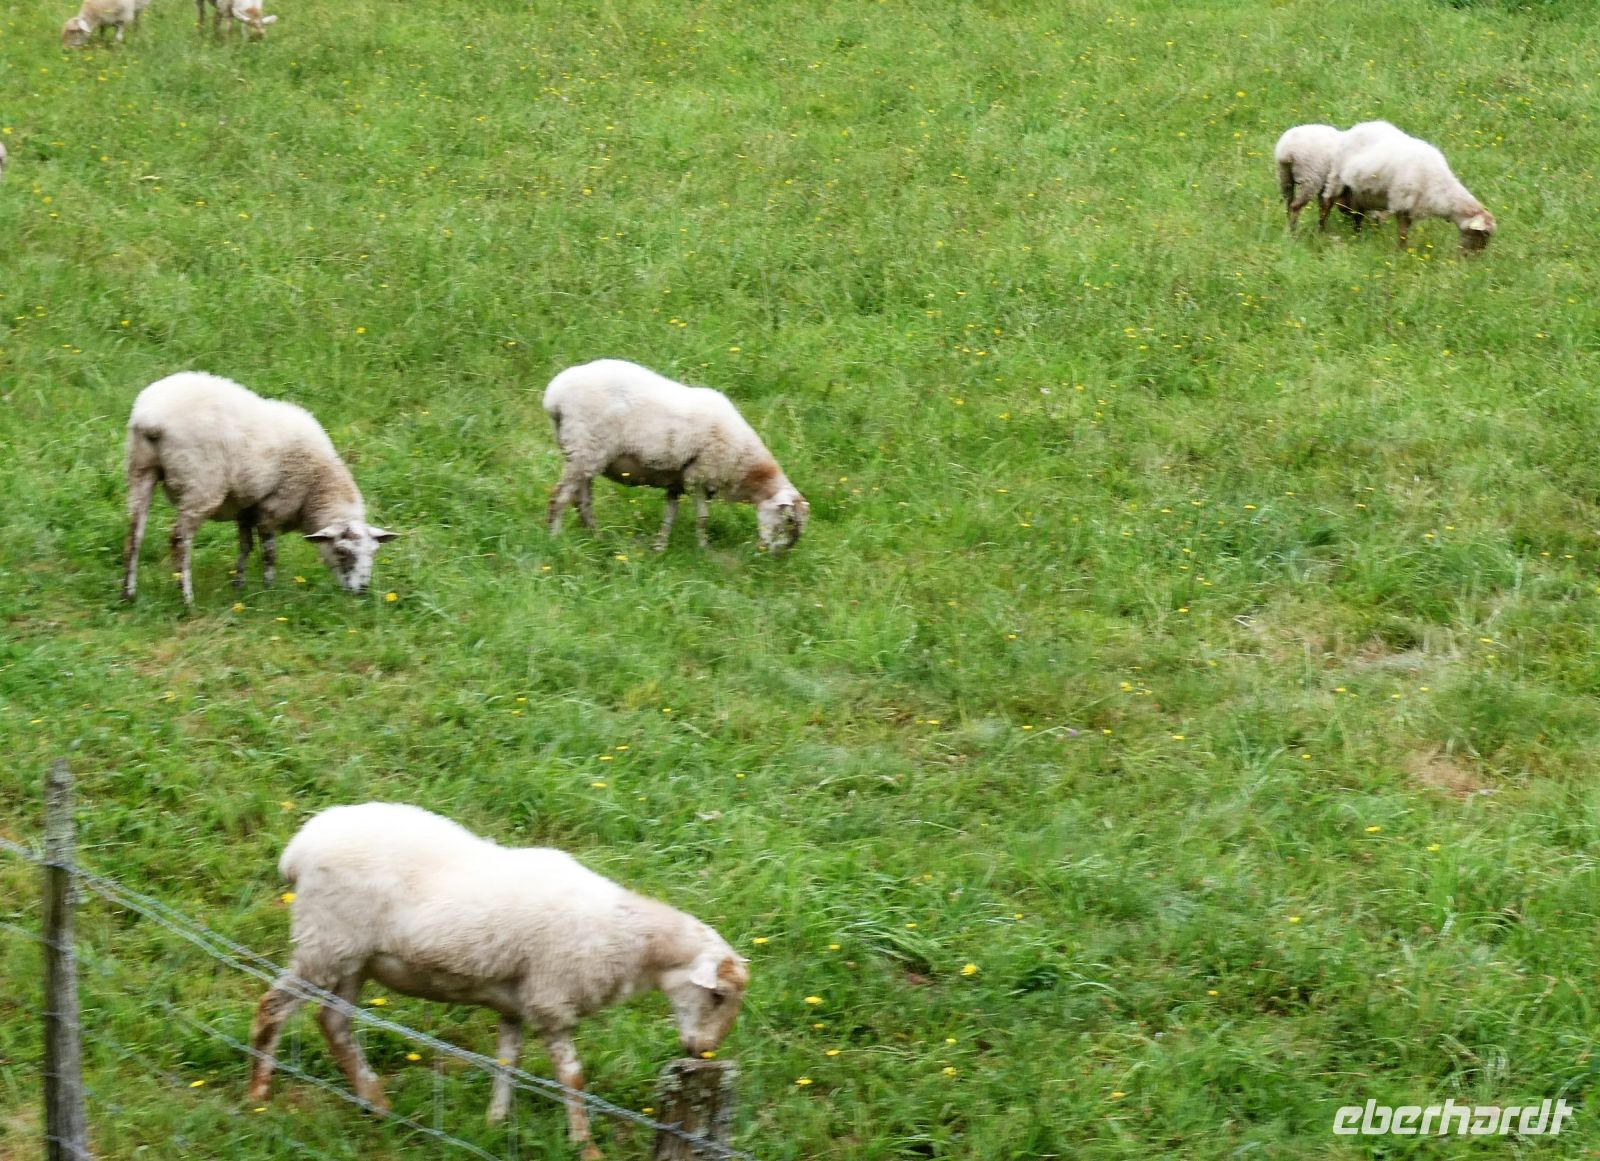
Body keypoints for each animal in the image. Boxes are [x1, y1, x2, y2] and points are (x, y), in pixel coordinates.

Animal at [121, 371, 396, 605]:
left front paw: (239, 584)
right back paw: (186, 599)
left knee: (135, 533)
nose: (361, 591)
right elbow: (269, 553)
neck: (317, 486)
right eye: (341, 552)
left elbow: (245, 546)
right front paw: (268, 591)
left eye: (374, 552)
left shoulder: (246, 508)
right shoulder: (272, 509)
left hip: (141, 468)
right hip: (201, 484)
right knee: (179, 539)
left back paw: (128, 593)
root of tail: (151, 418)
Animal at [245, 803, 749, 1160]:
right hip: (326, 942)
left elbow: (507, 1062)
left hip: (353, 958)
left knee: (333, 1023)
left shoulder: (517, 1004)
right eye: (717, 995)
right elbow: (572, 1077)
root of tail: (300, 848)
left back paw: (375, 1102)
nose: (704, 1052)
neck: (630, 941)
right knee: (273, 1007)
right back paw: (258, 1096)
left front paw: (494, 1124)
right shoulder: (551, 1002)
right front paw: (585, 1146)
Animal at [544, 358, 810, 554]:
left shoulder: (677, 481)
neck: (745, 465)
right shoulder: (700, 476)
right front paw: (704, 549)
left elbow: (670, 515)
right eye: (788, 521)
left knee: (583, 501)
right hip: (585, 449)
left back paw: (596, 537)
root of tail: (554, 397)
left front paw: (660, 547)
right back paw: (555, 537)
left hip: (585, 454)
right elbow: (702, 517)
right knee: (560, 497)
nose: (778, 555)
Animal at [1320, 122, 1495, 253]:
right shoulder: (1402, 202)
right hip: (1337, 176)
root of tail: (1357, 127)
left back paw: (1358, 236)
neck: (1441, 189)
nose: (1472, 259)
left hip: (1361, 193)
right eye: (1483, 234)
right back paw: (1321, 230)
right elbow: (1403, 233)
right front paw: (1401, 252)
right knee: (1327, 203)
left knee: (1357, 215)